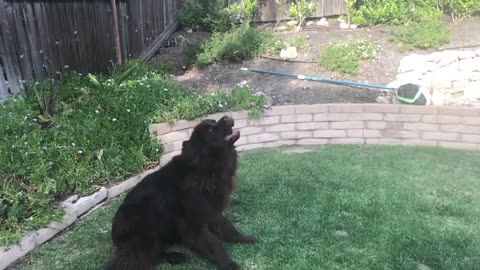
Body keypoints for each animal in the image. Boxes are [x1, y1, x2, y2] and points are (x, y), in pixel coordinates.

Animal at [105, 115, 255, 270]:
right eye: (210, 129)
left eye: (213, 122)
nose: (226, 116)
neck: (206, 169)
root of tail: (115, 237)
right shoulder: (193, 224)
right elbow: (214, 245)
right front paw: (229, 264)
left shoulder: (212, 211)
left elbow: (228, 228)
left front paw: (244, 238)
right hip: (143, 235)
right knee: (139, 257)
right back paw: (176, 256)